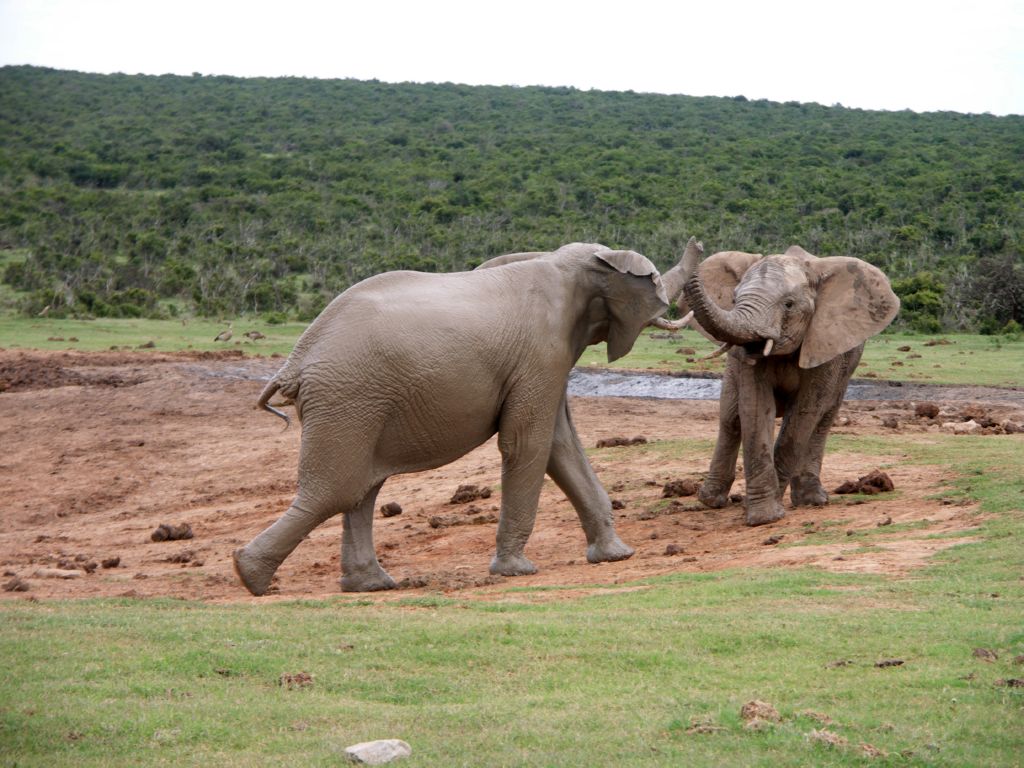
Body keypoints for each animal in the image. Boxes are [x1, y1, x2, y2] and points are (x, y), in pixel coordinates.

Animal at [233, 240, 700, 593]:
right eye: (653, 281)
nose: (697, 243)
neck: (568, 259)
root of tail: (296, 360)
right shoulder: (541, 353)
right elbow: (528, 443)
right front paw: (517, 571)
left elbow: (560, 445)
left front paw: (616, 556)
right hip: (348, 396)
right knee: (336, 490)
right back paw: (250, 576)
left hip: (358, 402)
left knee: (361, 489)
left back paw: (371, 585)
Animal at [675, 246, 901, 528]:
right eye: (734, 298)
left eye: (789, 304)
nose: (697, 245)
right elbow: (755, 409)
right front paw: (764, 516)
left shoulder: (826, 345)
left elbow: (804, 414)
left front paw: (762, 511)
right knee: (730, 419)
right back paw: (710, 501)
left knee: (822, 421)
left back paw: (813, 501)